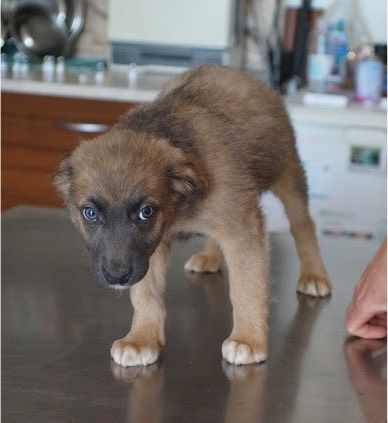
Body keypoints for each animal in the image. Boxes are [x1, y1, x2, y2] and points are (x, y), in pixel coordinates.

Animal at [53, 64, 330, 366]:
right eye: (90, 213)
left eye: (145, 212)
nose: (117, 277)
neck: (180, 205)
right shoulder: (150, 250)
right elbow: (146, 294)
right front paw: (142, 339)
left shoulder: (242, 230)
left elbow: (247, 287)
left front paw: (248, 339)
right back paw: (210, 256)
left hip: (287, 172)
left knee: (303, 224)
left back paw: (314, 274)